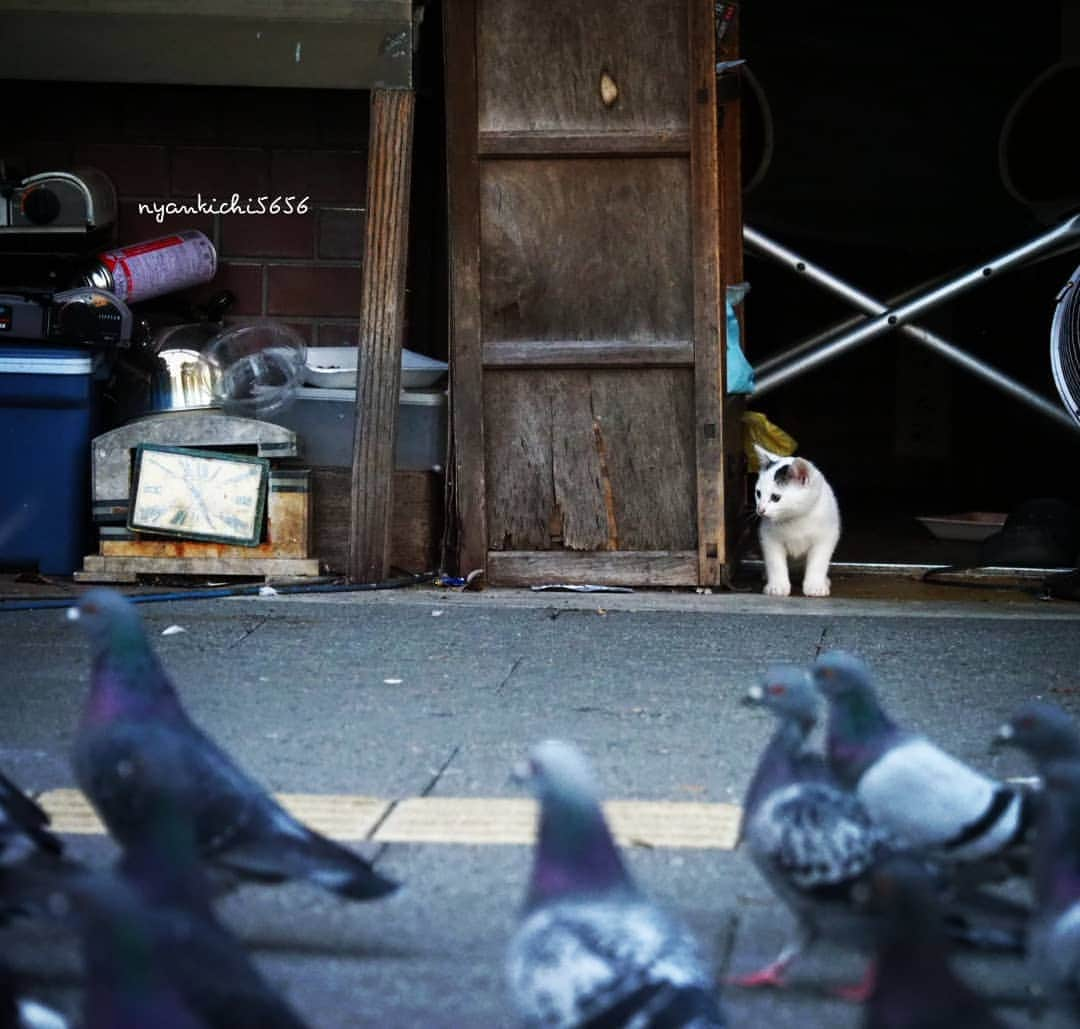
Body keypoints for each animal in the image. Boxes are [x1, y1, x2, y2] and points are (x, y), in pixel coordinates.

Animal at [756, 442, 838, 600]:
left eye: (775, 497)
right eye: (758, 493)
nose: (760, 510)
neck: (795, 518)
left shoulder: (826, 537)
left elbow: (818, 563)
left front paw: (815, 586)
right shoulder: (769, 538)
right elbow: (775, 563)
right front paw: (777, 586)